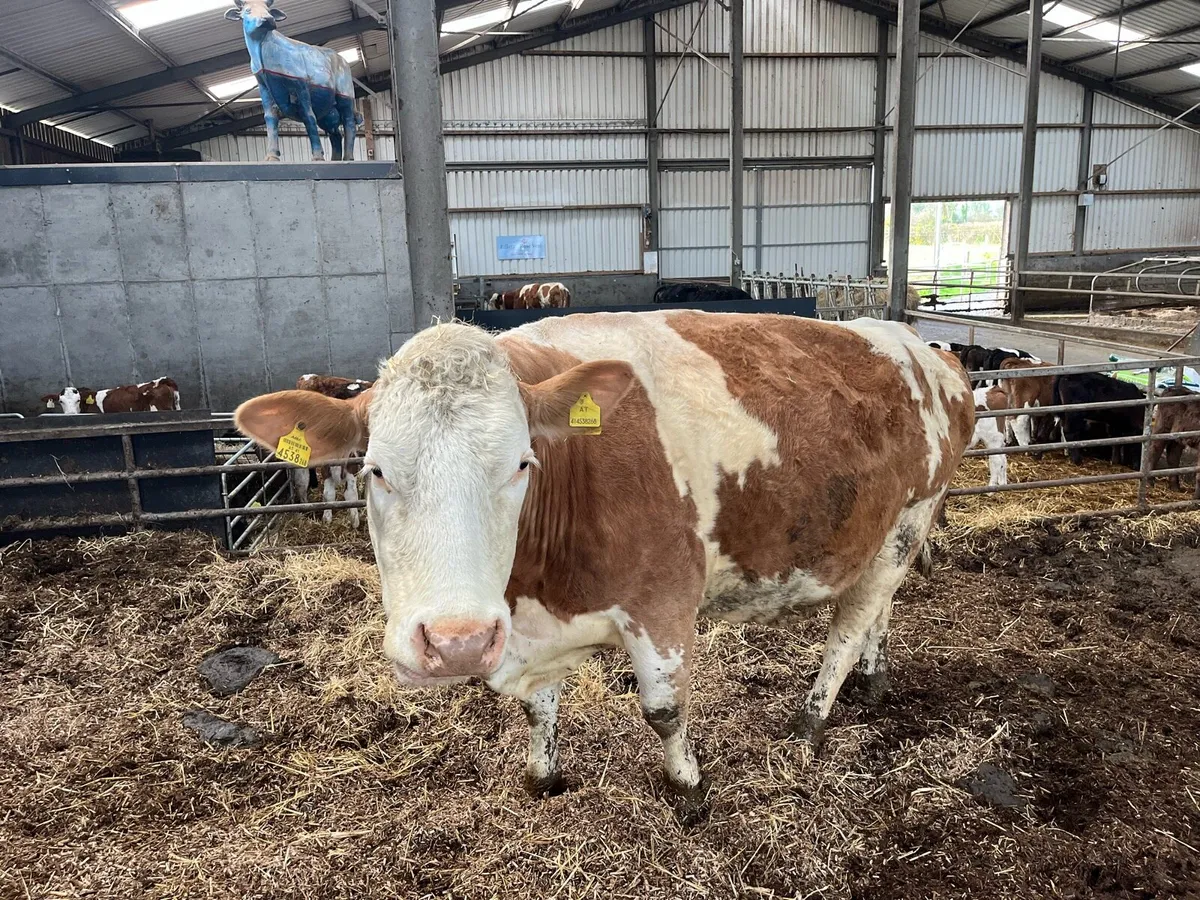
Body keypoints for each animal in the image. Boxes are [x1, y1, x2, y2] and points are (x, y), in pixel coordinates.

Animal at [293, 374, 373, 527]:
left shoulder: (351, 463)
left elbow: (351, 493)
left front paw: (355, 521)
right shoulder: (325, 466)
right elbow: (328, 493)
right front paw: (326, 518)